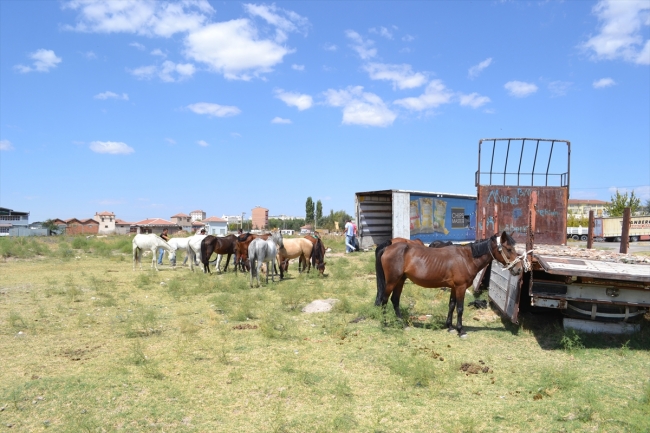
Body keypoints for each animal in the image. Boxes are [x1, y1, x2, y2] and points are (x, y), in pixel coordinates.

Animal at [374, 231, 520, 336]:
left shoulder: (454, 288)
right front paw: (461, 330)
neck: (467, 258)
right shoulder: (460, 287)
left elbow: (451, 305)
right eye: (508, 249)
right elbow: (460, 308)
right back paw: (385, 323)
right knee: (384, 300)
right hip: (392, 281)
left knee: (395, 300)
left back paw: (402, 325)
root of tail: (388, 247)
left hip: (400, 280)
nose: (518, 269)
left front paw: (450, 327)